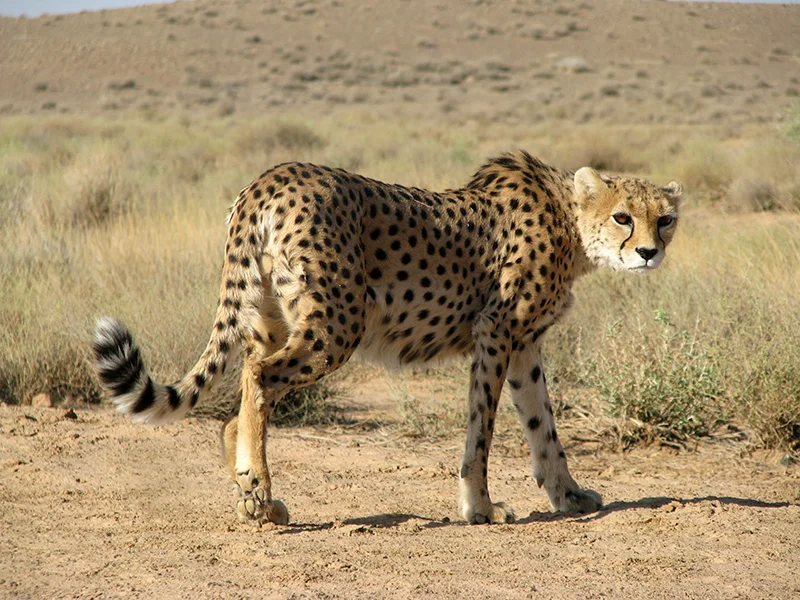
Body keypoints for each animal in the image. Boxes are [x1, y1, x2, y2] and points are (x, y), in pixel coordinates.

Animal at [92, 150, 681, 526]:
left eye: (666, 219)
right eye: (623, 217)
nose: (649, 252)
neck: (570, 221)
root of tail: (272, 176)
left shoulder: (525, 343)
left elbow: (542, 425)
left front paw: (569, 495)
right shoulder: (496, 331)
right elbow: (482, 432)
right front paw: (481, 508)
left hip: (271, 318)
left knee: (239, 405)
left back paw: (258, 501)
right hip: (337, 323)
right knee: (259, 377)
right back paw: (258, 489)